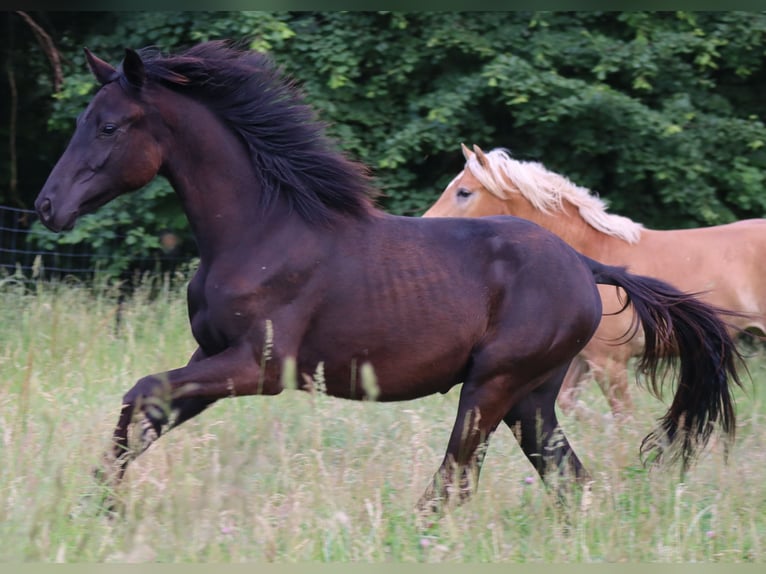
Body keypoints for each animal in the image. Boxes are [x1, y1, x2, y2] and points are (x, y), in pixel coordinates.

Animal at [424, 146, 764, 418]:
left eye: (464, 192)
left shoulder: (610, 363)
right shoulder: (584, 360)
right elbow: (569, 404)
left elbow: (624, 417)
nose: (425, 224)